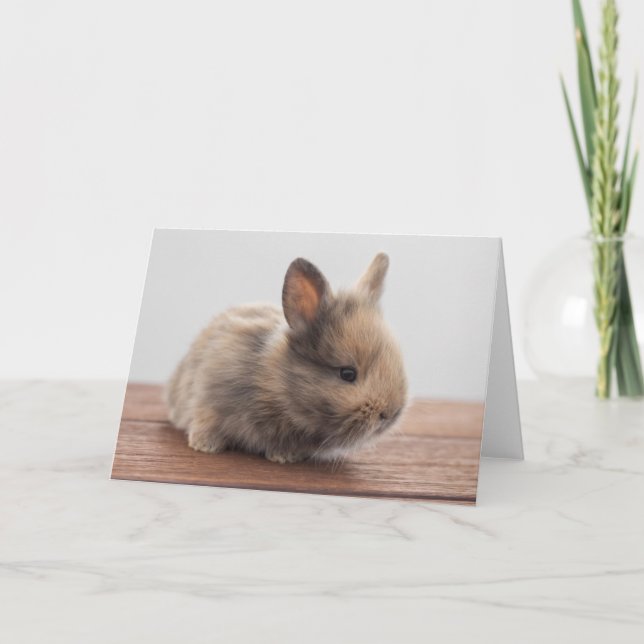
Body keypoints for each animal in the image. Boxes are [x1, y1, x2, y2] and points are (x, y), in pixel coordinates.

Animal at [166, 252, 408, 464]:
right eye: (347, 373)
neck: (275, 387)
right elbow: (206, 421)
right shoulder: (209, 397)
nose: (390, 413)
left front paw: (284, 457)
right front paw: (204, 446)